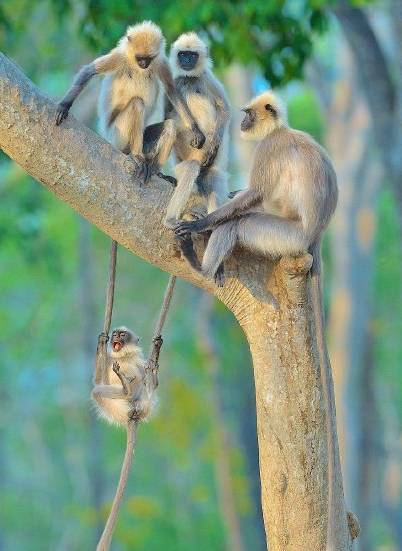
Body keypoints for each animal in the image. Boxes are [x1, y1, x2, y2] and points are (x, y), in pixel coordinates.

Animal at [55, 21, 206, 182]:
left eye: (148, 58)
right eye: (139, 58)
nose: (143, 64)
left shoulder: (160, 61)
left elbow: (171, 90)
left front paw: (196, 130)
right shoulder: (120, 56)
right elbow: (89, 71)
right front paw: (64, 105)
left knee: (170, 126)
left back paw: (156, 171)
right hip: (117, 136)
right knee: (137, 104)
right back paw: (136, 156)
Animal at [163, 33, 231, 229]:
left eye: (192, 55)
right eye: (183, 54)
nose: (186, 61)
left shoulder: (207, 77)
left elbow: (225, 109)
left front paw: (213, 144)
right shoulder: (176, 81)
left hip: (210, 167)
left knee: (214, 183)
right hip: (186, 161)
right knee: (191, 168)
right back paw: (170, 220)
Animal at [174, 92, 360, 548]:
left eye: (247, 114)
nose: (242, 123)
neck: (281, 131)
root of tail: (314, 239)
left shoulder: (270, 149)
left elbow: (254, 195)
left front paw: (203, 222)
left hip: (282, 237)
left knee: (243, 223)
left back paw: (203, 265)